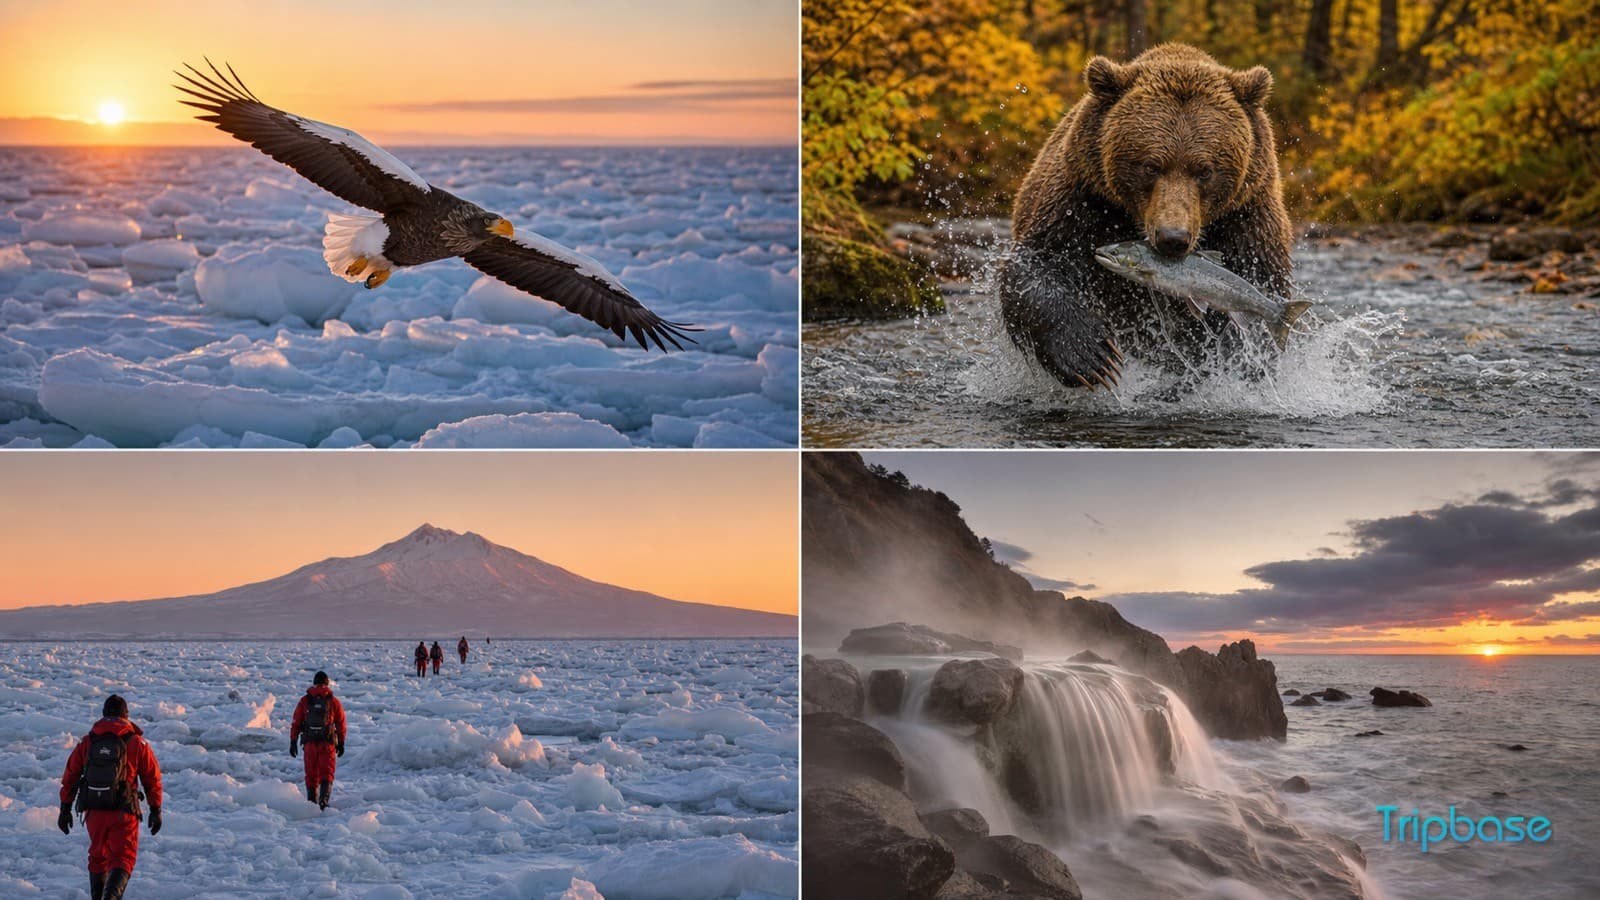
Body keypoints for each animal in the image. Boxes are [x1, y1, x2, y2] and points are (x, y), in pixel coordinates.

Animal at [999, 44, 1293, 389]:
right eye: (1151, 166)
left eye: (1205, 170)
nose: (1173, 238)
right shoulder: (1081, 199)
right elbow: (1036, 263)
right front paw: (1093, 357)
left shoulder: (1247, 215)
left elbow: (1260, 279)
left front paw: (1236, 360)